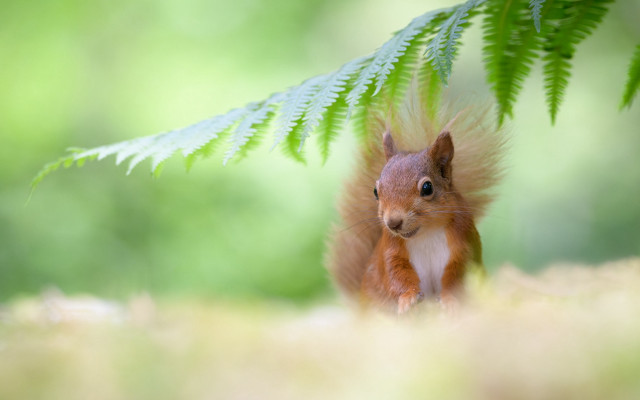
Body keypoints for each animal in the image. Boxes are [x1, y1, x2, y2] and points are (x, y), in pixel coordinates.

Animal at [327, 82, 507, 314]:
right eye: (375, 191)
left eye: (427, 187)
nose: (393, 222)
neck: (426, 233)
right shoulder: (392, 249)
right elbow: (395, 275)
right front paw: (408, 298)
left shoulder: (462, 245)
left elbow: (457, 277)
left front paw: (450, 300)